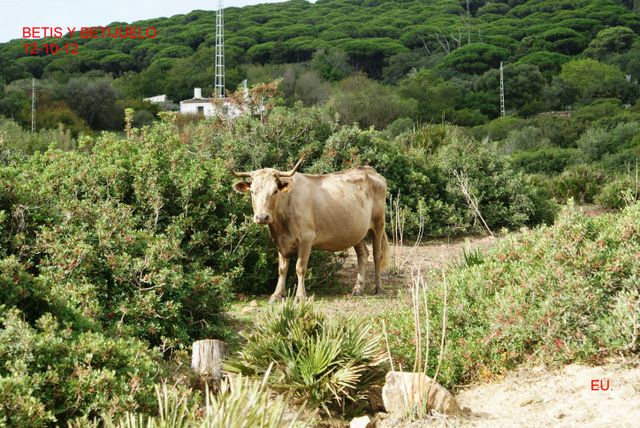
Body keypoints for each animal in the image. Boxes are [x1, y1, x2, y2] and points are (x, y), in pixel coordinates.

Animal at [232, 159, 390, 303]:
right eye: (252, 191)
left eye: (275, 191)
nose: (262, 217)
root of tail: (368, 170)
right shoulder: (280, 240)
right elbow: (282, 269)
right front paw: (276, 295)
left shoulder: (306, 239)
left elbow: (300, 267)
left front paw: (300, 296)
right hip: (356, 231)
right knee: (363, 255)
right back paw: (358, 288)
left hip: (379, 223)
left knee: (377, 255)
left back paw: (379, 288)